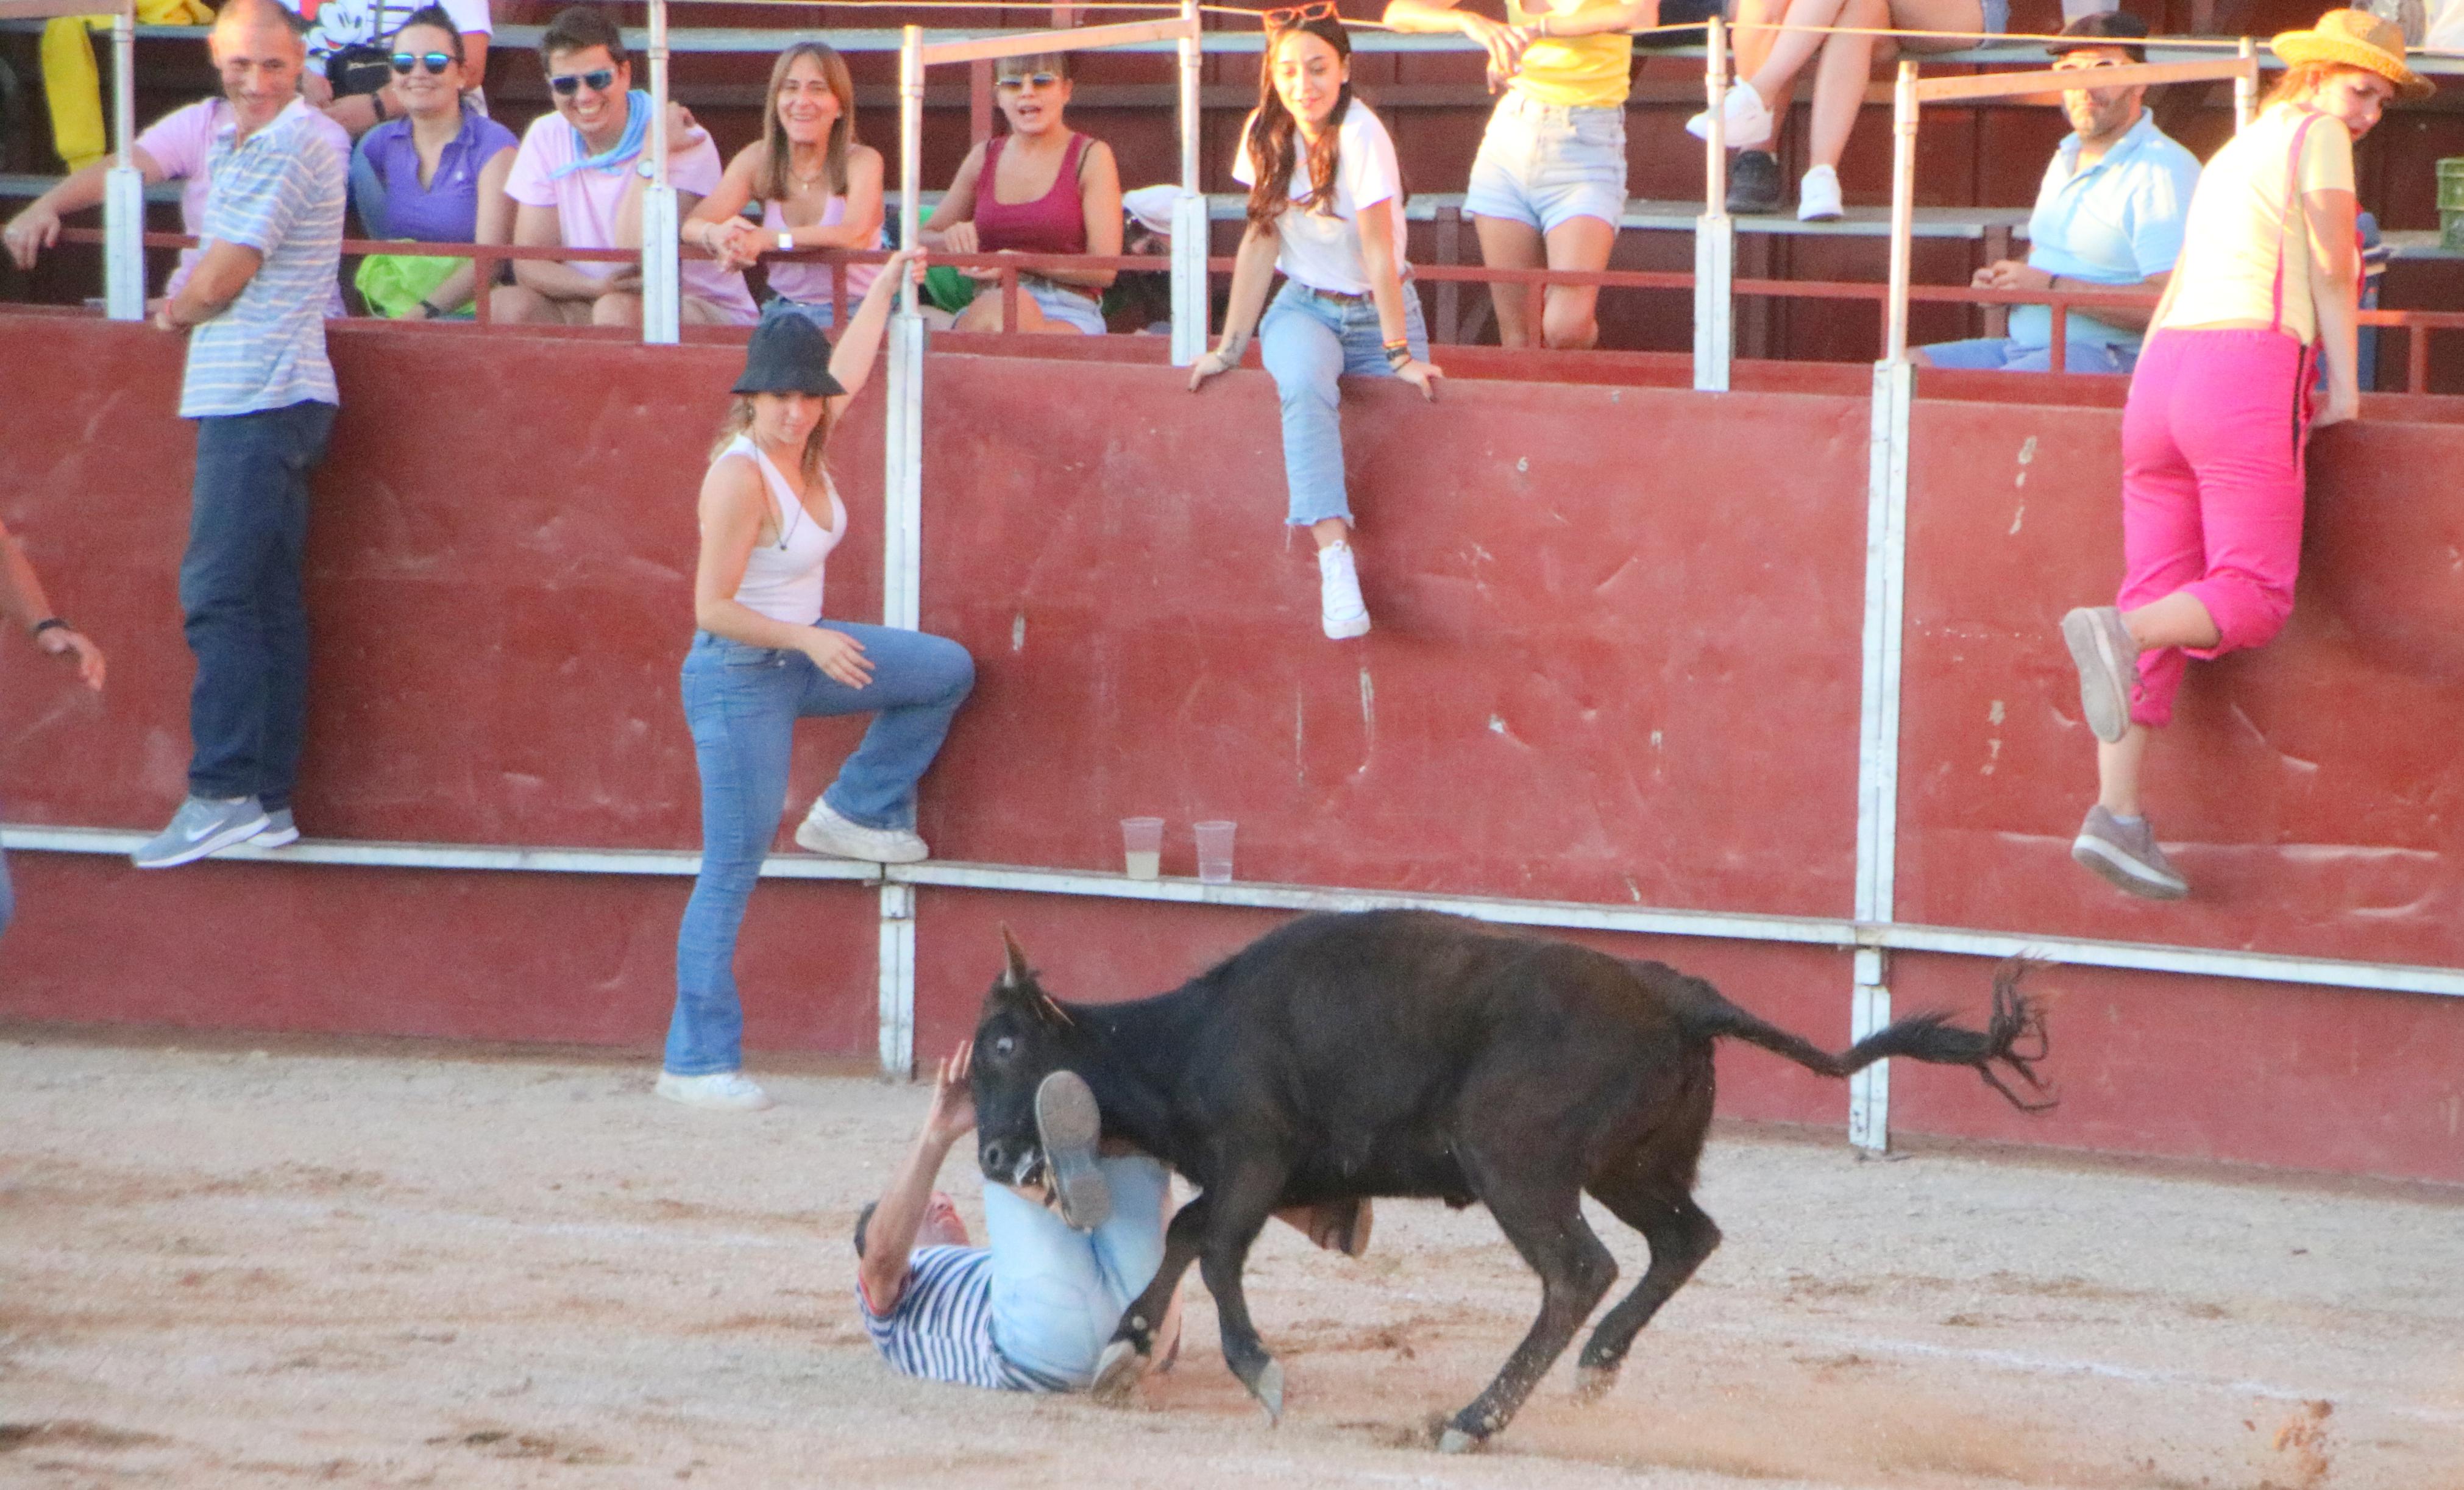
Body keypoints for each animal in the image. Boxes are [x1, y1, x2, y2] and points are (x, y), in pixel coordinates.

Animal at [970, 911, 2050, 1448]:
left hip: (1515, 1163)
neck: (1189, 1036)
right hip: (1629, 1165)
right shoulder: (1260, 1174)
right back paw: (1594, 1369)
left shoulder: (1255, 1160)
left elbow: (1216, 1248)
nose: (985, 1158)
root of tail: (1677, 994)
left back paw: (1474, 1418)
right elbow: (1190, 1235)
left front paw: (1258, 1372)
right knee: (1682, 1240)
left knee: (1578, 1270)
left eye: (1005, 1047)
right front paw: (1124, 1347)